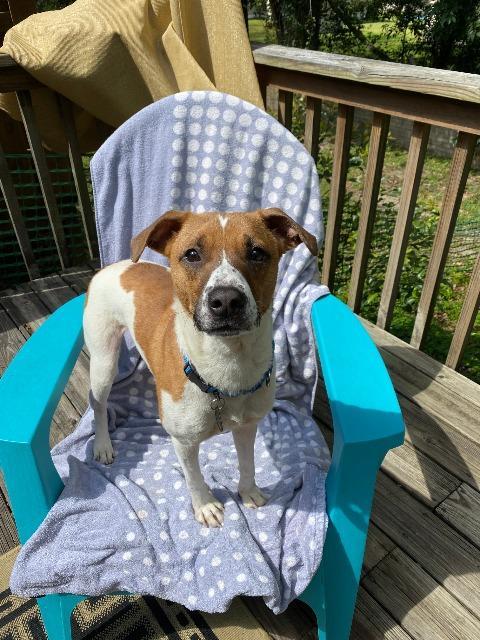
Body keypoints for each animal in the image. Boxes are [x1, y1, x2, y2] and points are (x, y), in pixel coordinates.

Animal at [83, 208, 317, 527]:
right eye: (192, 254)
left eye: (257, 252)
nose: (227, 300)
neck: (226, 365)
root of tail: (115, 266)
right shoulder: (184, 442)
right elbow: (193, 477)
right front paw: (205, 505)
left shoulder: (248, 426)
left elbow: (248, 463)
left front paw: (248, 491)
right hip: (103, 360)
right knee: (97, 402)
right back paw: (103, 445)